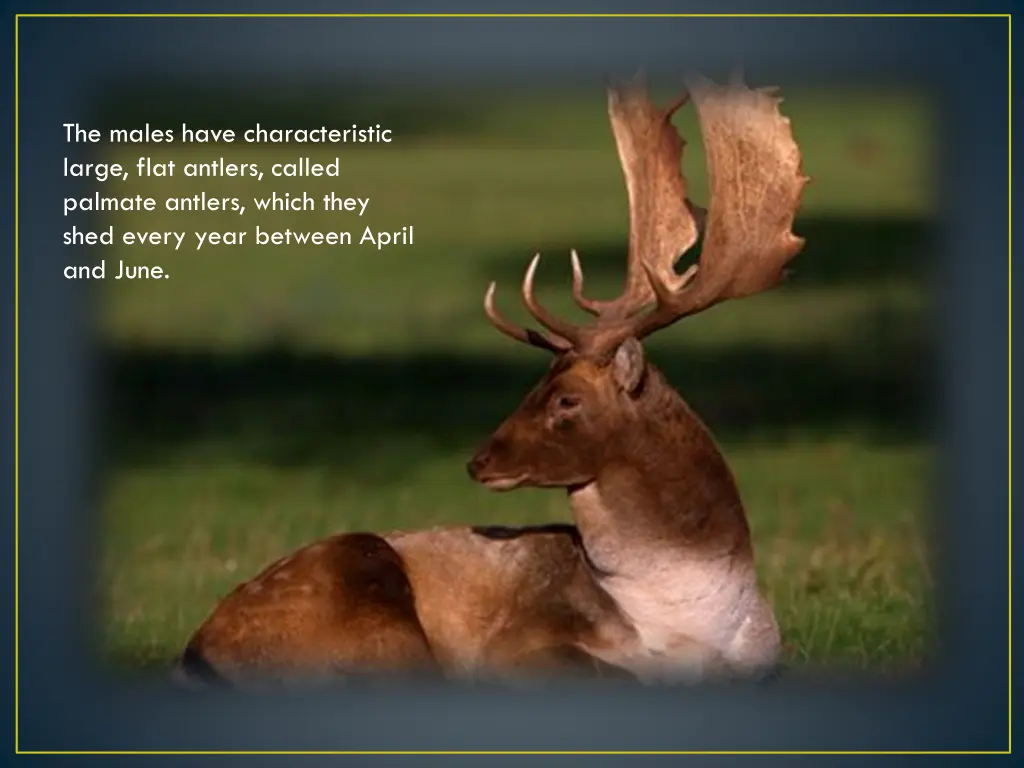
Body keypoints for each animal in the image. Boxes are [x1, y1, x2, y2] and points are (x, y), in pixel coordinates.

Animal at [180, 70, 811, 684]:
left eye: (566, 399)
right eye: (536, 385)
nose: (478, 460)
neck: (691, 616)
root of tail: (195, 651)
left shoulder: (765, 655)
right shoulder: (518, 643)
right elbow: (611, 672)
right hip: (370, 607)